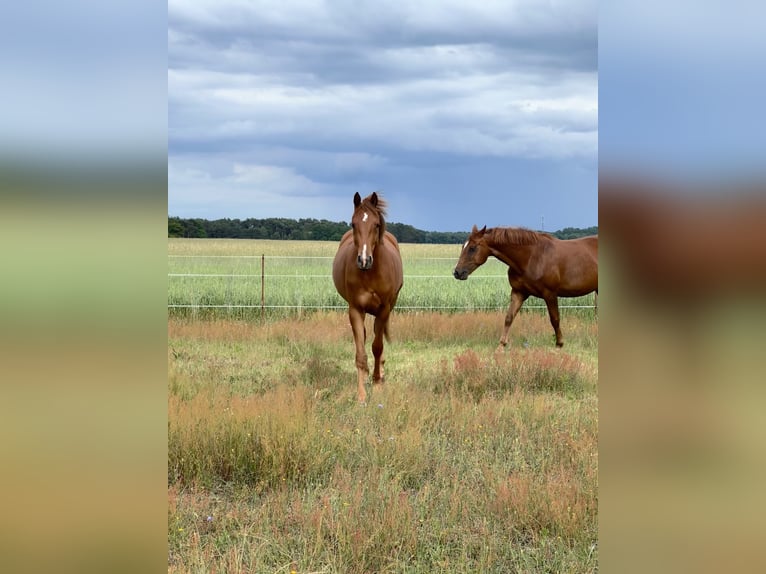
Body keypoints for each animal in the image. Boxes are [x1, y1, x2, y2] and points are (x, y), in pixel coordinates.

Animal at [333, 192, 403, 403]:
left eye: (376, 224)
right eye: (353, 224)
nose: (364, 260)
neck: (369, 273)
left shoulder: (383, 310)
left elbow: (377, 348)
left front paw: (378, 385)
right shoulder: (355, 310)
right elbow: (361, 353)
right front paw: (362, 395)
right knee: (363, 337)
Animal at [453, 225, 598, 349]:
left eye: (472, 248)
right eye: (463, 246)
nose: (457, 272)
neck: (531, 257)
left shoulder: (550, 294)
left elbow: (555, 319)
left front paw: (559, 344)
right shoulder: (518, 293)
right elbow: (509, 318)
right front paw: (501, 346)